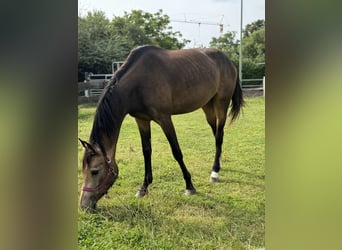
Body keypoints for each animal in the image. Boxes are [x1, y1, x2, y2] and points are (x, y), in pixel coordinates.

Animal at [78, 45, 243, 211]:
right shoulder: (141, 120)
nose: (84, 206)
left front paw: (189, 186)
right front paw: (143, 188)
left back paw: (215, 172)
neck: (138, 82)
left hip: (221, 104)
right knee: (216, 134)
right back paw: (218, 165)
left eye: (94, 171)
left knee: (219, 135)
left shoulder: (164, 119)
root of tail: (228, 60)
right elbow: (146, 151)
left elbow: (177, 152)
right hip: (207, 106)